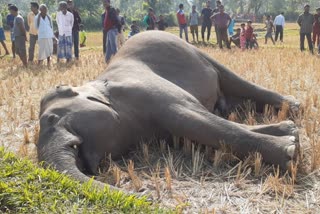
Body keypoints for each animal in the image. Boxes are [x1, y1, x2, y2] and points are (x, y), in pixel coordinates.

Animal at [37, 30, 300, 189]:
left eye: (51, 119)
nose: (140, 190)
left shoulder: (149, 90)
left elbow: (193, 118)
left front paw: (291, 151)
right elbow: (193, 128)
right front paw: (291, 134)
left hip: (195, 51)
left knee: (232, 78)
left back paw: (295, 107)